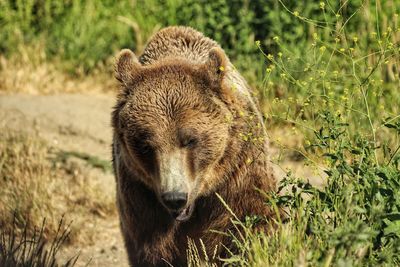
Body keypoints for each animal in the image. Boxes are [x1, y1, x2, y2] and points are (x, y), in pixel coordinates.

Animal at [111, 26, 276, 266]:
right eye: (145, 145)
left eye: (190, 140)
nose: (175, 197)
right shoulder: (139, 194)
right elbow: (153, 249)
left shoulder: (238, 173)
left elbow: (249, 223)